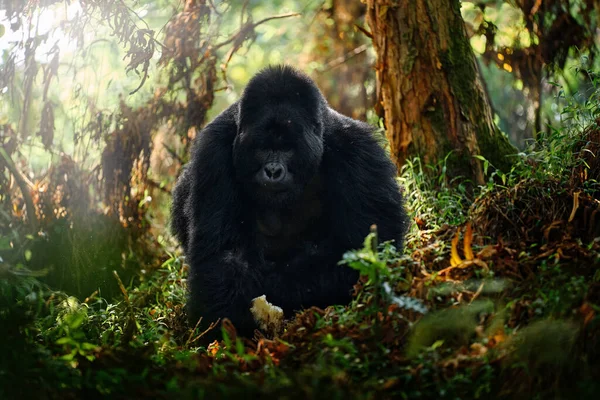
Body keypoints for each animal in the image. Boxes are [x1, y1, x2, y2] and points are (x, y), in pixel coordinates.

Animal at [171, 66, 410, 338]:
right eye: (263, 148)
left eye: (287, 148)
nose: (273, 171)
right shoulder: (213, 150)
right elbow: (224, 255)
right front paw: (227, 327)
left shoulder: (358, 150)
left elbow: (365, 249)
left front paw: (276, 288)